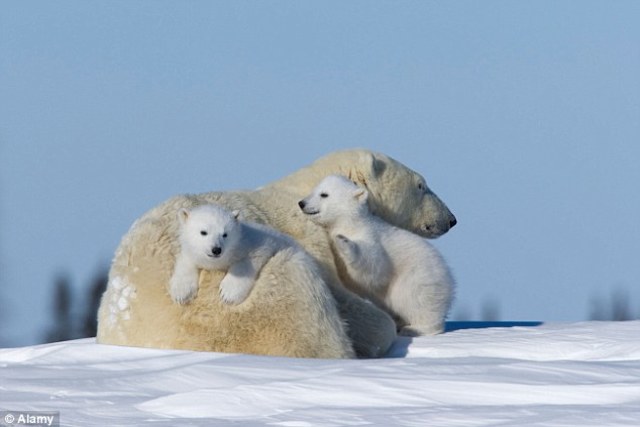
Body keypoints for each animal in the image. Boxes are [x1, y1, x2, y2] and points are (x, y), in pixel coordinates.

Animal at [299, 175, 455, 336]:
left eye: (324, 194)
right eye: (314, 190)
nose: (302, 203)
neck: (350, 222)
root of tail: (451, 283)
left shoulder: (370, 236)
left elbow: (375, 268)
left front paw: (342, 241)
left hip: (420, 278)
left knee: (419, 301)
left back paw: (414, 328)